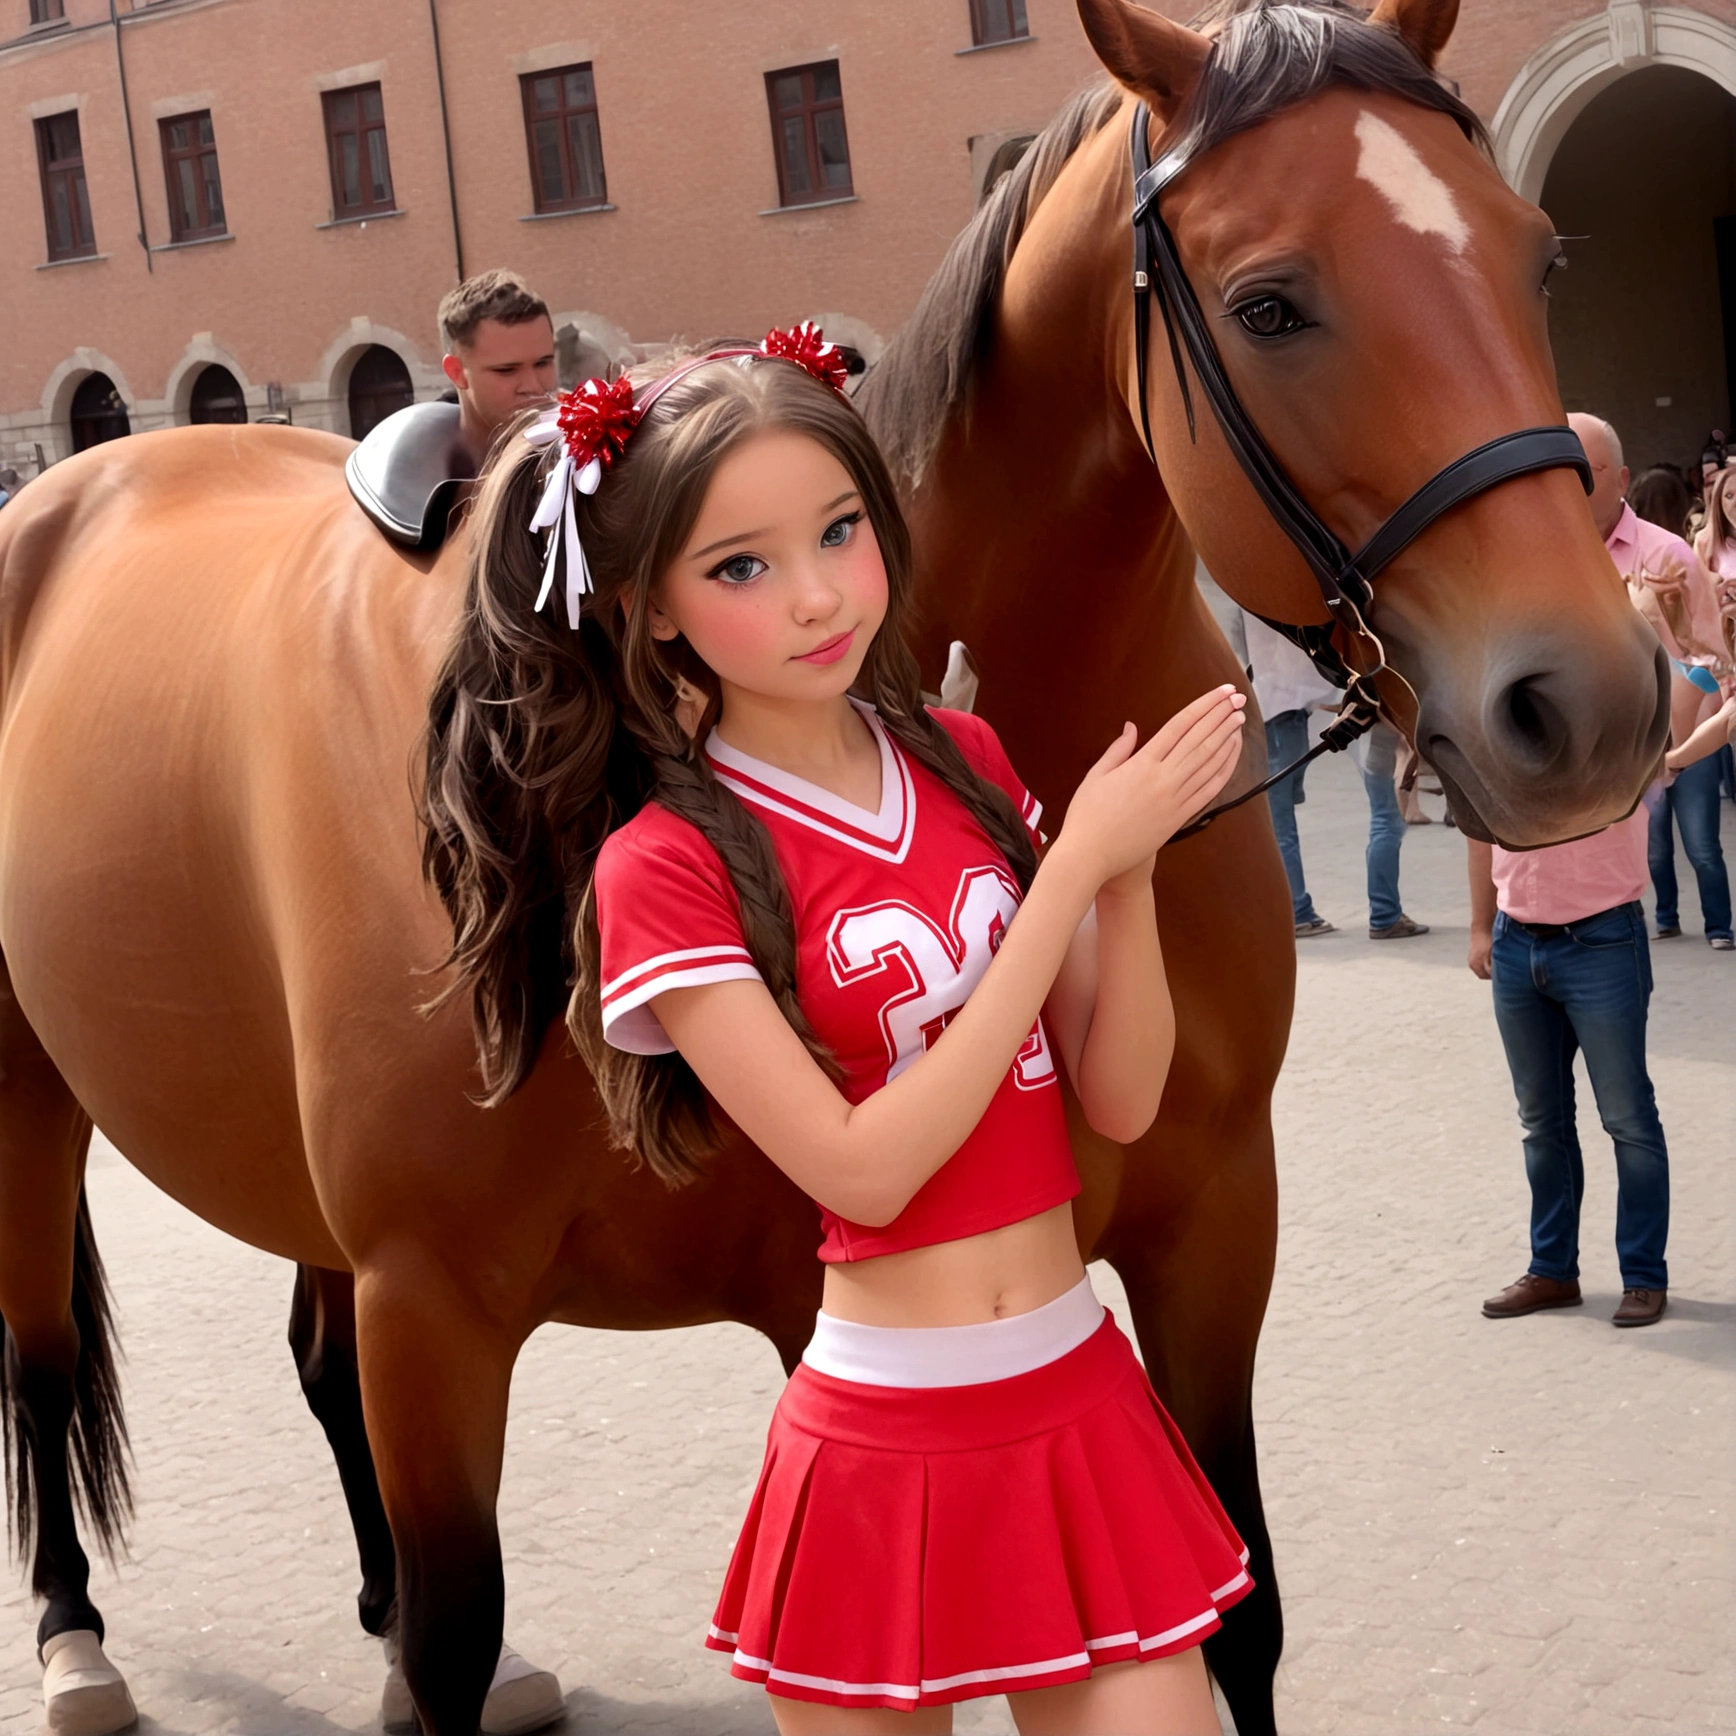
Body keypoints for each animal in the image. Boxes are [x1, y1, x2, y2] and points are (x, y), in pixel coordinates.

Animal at [0, 3, 1666, 1736]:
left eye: (1540, 257)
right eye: (1273, 303)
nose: (1589, 703)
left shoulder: (1209, 1221)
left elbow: (1240, 1608)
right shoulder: (447, 1303)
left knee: (311, 1362)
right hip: (38, 1108)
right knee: (40, 1361)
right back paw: (75, 1637)